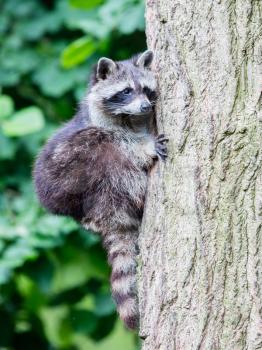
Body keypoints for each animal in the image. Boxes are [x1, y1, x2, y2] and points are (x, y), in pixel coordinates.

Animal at [33, 50, 168, 330]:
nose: (146, 107)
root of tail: (104, 215)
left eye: (147, 90)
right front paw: (144, 146)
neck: (128, 118)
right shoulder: (99, 123)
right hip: (77, 182)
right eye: (126, 91)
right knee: (104, 151)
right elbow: (119, 140)